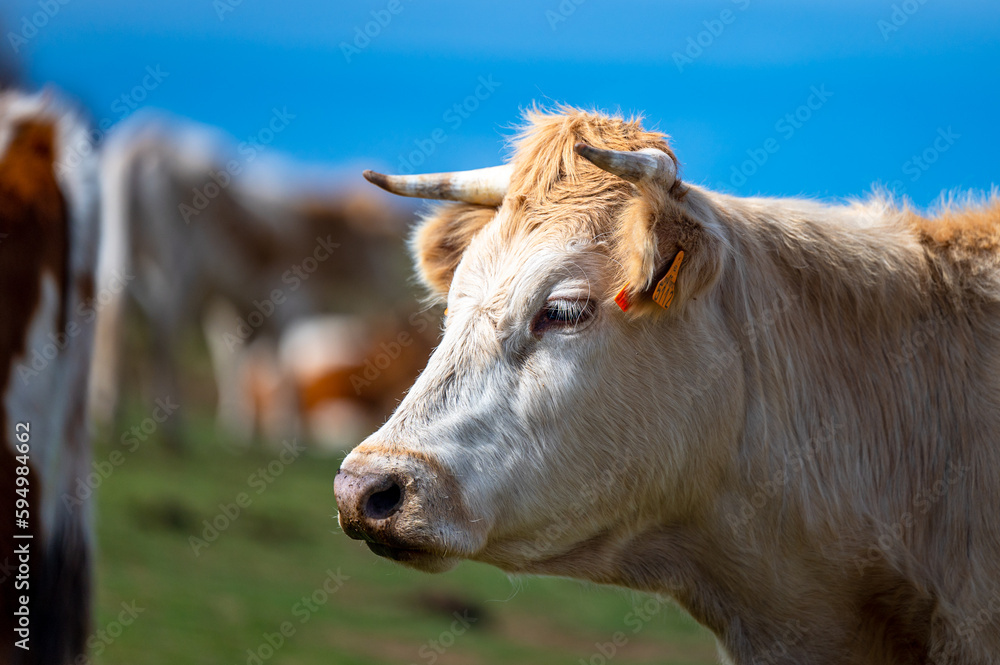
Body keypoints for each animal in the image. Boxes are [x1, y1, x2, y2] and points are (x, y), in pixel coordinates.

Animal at [88, 111, 412, 448]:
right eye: (380, 242)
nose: (396, 282)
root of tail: (145, 137)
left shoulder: (235, 306)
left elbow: (236, 359)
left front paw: (242, 432)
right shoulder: (289, 299)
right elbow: (283, 361)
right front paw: (287, 432)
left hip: (118, 253)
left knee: (114, 317)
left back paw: (108, 418)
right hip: (177, 266)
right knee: (163, 327)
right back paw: (171, 429)